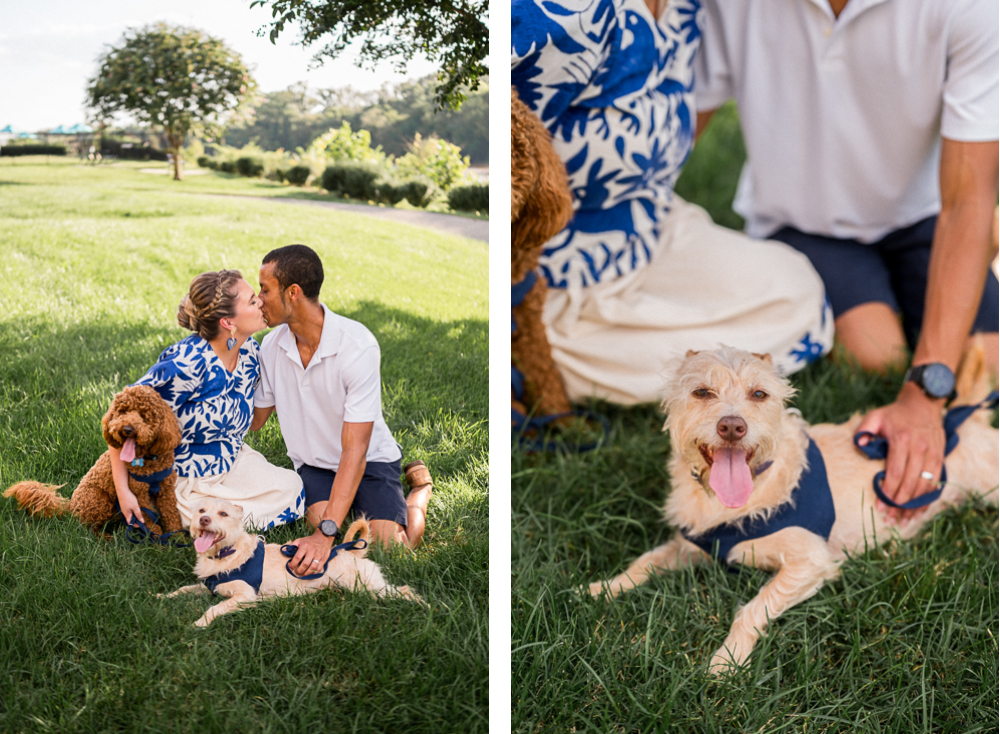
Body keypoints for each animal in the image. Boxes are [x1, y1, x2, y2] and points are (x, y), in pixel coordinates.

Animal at [4, 388, 184, 536]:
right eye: (122, 412)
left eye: (144, 414)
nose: (127, 429)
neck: (149, 461)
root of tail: (71, 506)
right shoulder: (138, 496)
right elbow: (150, 521)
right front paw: (158, 543)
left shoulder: (167, 491)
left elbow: (172, 515)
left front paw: (178, 539)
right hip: (99, 500)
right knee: (87, 529)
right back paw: (106, 538)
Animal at [159, 500, 422, 628]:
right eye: (201, 510)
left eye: (223, 514)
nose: (204, 519)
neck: (226, 554)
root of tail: (353, 554)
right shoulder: (207, 586)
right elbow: (184, 589)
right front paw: (162, 596)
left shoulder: (245, 597)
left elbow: (215, 608)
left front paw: (200, 623)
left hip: (369, 587)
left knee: (404, 590)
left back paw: (425, 606)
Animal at [588, 342, 996, 676]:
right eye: (701, 391)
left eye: (759, 393)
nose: (732, 426)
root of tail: (962, 420)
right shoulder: (690, 545)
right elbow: (644, 563)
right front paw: (599, 589)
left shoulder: (809, 562)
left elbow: (752, 608)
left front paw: (727, 659)